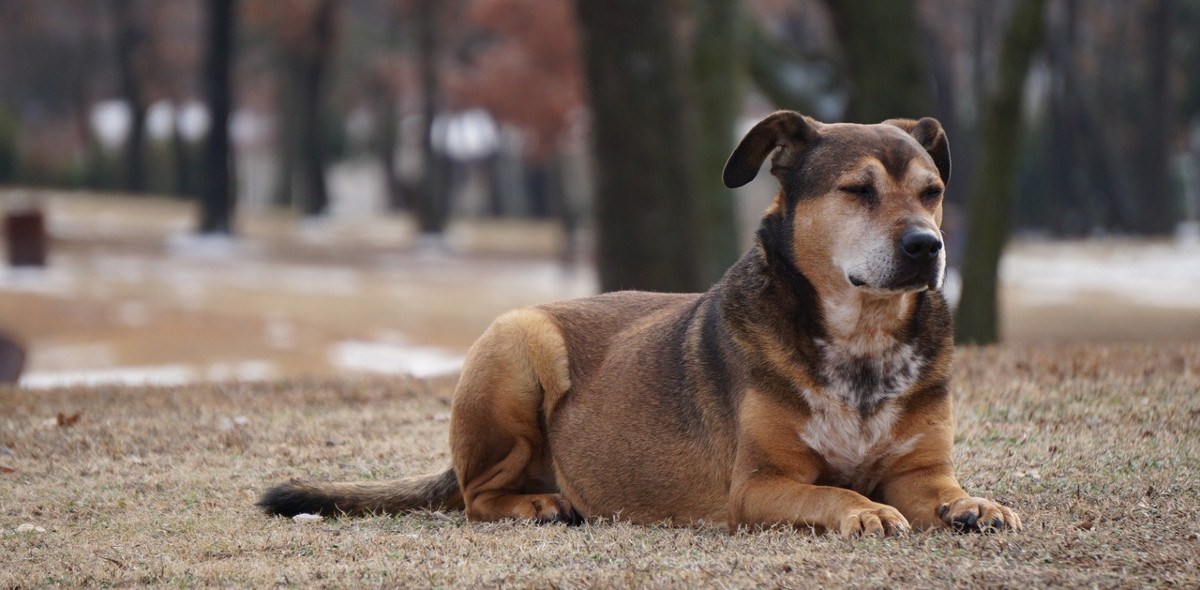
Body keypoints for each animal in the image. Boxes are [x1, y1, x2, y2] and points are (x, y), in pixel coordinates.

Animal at [262, 111, 1022, 539]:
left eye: (932, 191)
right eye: (858, 191)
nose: (928, 246)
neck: (860, 340)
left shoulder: (920, 473)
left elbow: (943, 491)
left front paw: (974, 506)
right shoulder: (757, 486)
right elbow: (829, 490)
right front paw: (859, 509)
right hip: (517, 345)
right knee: (477, 498)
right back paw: (540, 505)